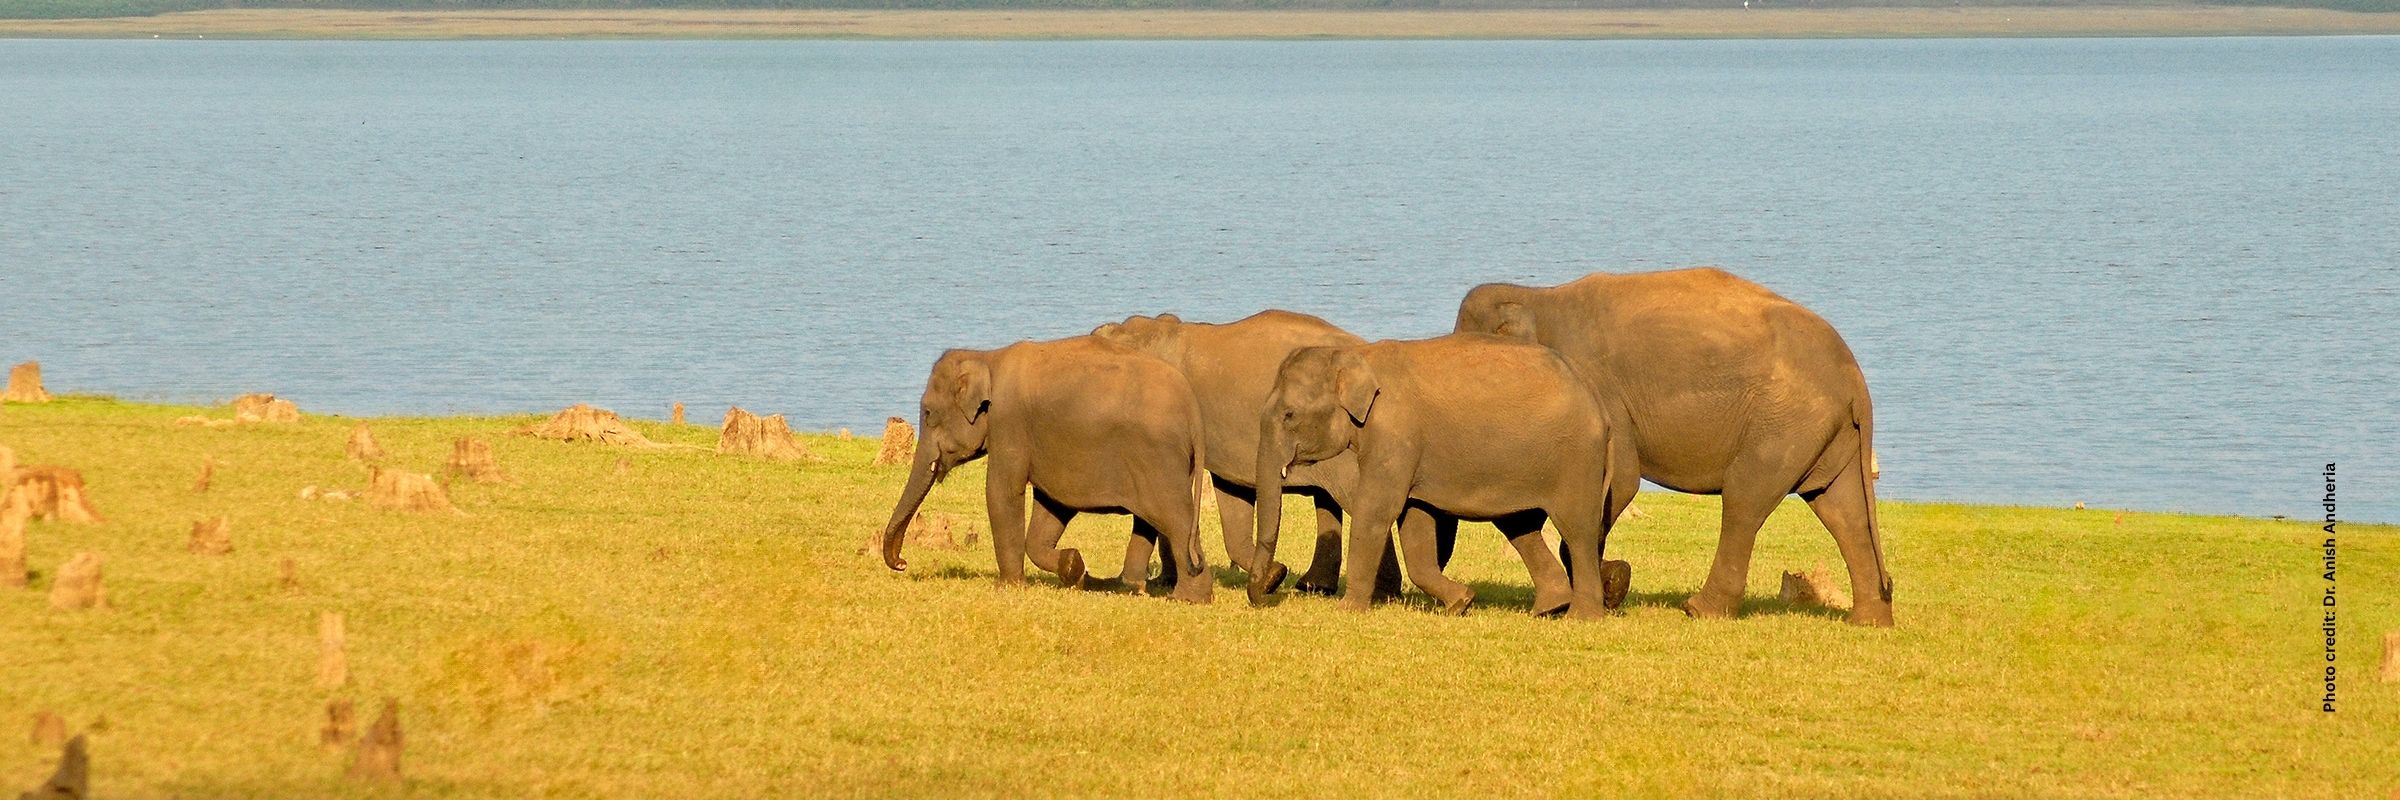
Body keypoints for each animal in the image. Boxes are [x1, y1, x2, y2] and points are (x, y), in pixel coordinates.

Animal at [879, 335, 1214, 605]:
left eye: (928, 413)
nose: (902, 563)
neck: (988, 357)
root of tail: (1192, 407)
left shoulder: (1009, 423)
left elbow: (1001, 492)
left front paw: (1008, 588)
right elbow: (1050, 508)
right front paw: (1075, 568)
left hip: (1158, 458)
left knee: (1176, 519)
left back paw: (1187, 599)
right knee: (1150, 521)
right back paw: (1130, 588)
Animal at [1091, 310, 1404, 599]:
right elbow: (1231, 493)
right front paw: (1275, 575)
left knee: (1351, 496)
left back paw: (1381, 592)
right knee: (1329, 501)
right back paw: (1317, 586)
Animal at [1251, 334, 1638, 618]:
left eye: (1289, 414)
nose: (1264, 596)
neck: (1358, 355)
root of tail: (1598, 404)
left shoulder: (1395, 432)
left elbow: (1377, 509)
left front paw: (1348, 611)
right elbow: (1414, 520)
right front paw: (1461, 603)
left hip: (1576, 457)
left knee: (1576, 529)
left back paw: (1581, 617)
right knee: (1521, 526)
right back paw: (1548, 608)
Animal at [1454, 267, 1895, 626]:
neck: (1536, 296)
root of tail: (1855, 378)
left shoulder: (1599, 388)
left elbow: (1622, 480)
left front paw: (1612, 586)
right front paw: (1613, 585)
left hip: (1785, 422)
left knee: (1745, 498)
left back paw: (1699, 611)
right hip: (1828, 433)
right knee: (1841, 509)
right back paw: (1869, 621)